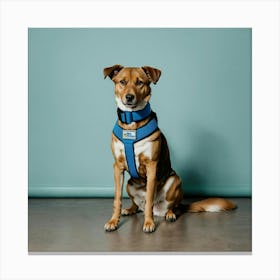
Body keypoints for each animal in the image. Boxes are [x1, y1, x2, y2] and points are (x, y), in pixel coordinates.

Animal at [103, 64, 234, 233]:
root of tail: (160, 210)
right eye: (122, 82)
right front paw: (113, 221)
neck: (132, 122)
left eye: (139, 83)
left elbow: (150, 198)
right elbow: (117, 198)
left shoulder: (152, 166)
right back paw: (130, 209)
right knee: (137, 205)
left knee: (172, 207)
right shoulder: (118, 167)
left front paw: (149, 223)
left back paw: (169, 214)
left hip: (175, 180)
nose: (129, 97)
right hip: (129, 184)